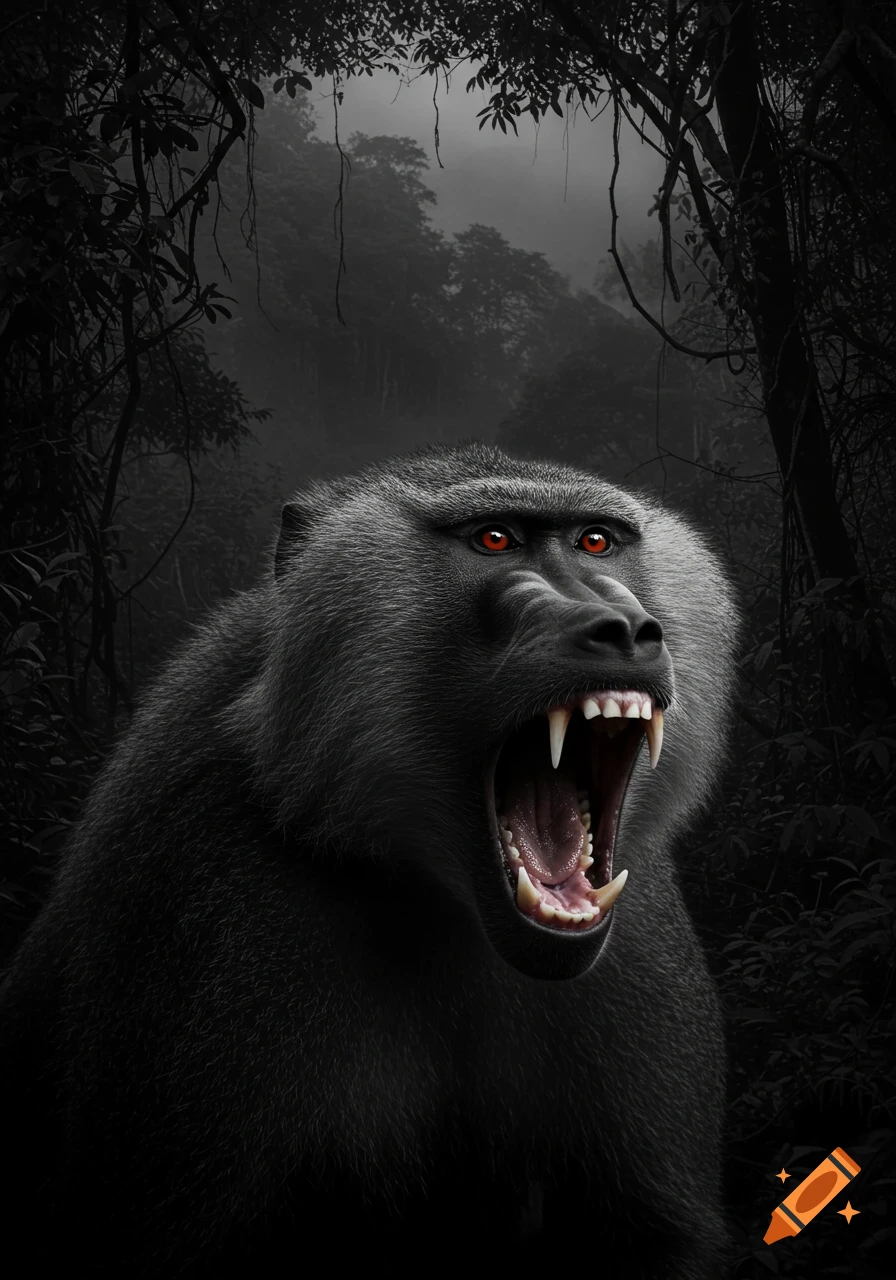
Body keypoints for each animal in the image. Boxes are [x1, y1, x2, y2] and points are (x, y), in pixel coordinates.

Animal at [1, 441, 739, 1278]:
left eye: (597, 540)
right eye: (494, 540)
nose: (624, 628)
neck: (437, 896)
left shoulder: (639, 932)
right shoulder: (200, 886)